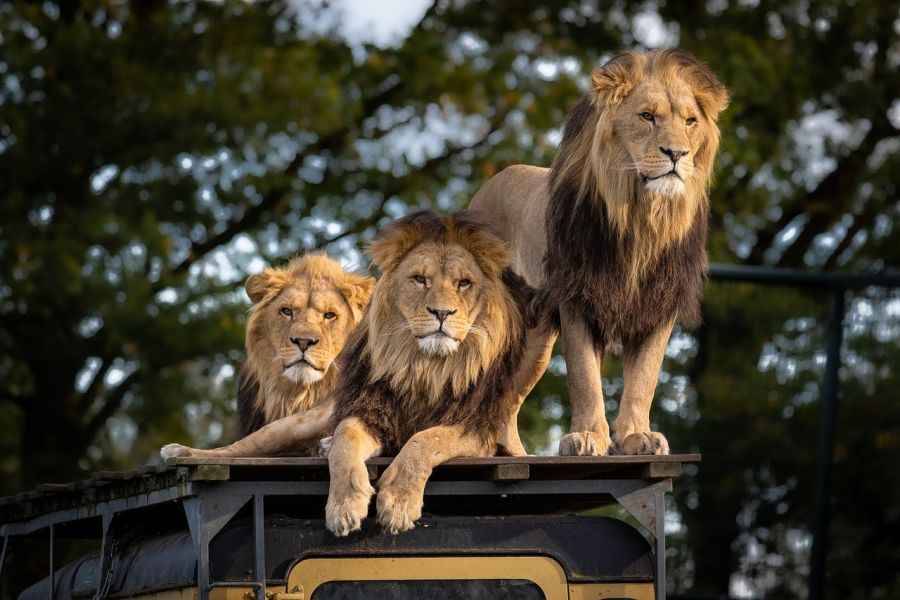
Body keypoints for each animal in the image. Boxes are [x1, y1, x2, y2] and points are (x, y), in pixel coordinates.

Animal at [162, 254, 372, 460]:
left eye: (330, 315)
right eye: (287, 311)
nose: (303, 341)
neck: (301, 393)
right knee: (238, 446)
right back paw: (179, 451)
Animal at [472, 49, 732, 458]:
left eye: (690, 122)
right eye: (647, 116)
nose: (677, 153)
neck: (641, 219)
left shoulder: (659, 304)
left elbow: (644, 379)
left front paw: (637, 436)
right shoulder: (578, 298)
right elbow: (585, 378)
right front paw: (587, 436)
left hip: (536, 340)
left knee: (506, 400)